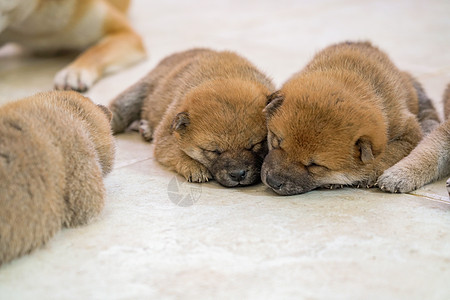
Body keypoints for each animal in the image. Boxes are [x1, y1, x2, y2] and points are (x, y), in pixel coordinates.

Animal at [109, 48, 274, 186]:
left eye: (254, 145)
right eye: (214, 151)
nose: (238, 175)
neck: (224, 76)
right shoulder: (165, 138)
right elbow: (177, 151)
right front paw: (195, 167)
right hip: (136, 94)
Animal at [260, 42, 440, 197]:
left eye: (315, 165)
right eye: (276, 142)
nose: (273, 181)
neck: (351, 75)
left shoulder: (408, 130)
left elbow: (391, 152)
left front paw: (369, 172)